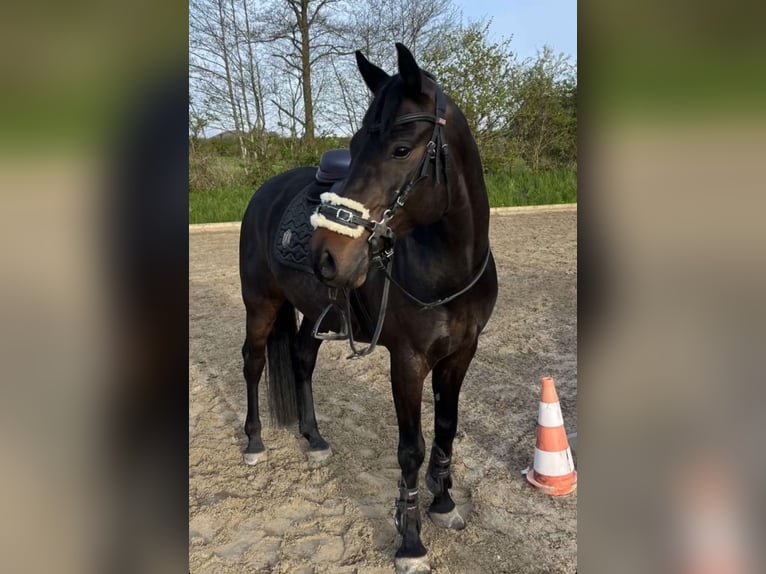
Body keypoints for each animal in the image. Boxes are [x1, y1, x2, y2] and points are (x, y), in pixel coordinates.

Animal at [243, 42, 500, 572]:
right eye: (357, 143)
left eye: (401, 149)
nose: (326, 255)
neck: (448, 267)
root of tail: (264, 193)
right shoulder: (408, 362)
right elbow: (411, 449)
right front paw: (410, 540)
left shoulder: (461, 354)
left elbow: (447, 430)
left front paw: (444, 503)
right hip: (260, 306)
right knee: (253, 364)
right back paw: (254, 442)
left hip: (313, 315)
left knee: (301, 359)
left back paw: (314, 439)